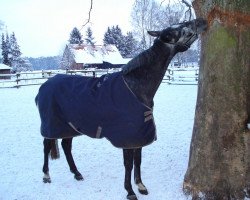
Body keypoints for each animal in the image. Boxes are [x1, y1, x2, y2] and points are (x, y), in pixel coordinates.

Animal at [35, 18, 207, 199]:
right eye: (179, 30)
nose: (201, 21)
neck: (135, 87)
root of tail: (44, 86)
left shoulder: (138, 136)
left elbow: (138, 161)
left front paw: (141, 186)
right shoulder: (128, 138)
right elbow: (128, 165)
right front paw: (130, 191)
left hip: (69, 126)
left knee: (66, 146)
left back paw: (77, 173)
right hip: (52, 125)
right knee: (46, 146)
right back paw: (46, 175)